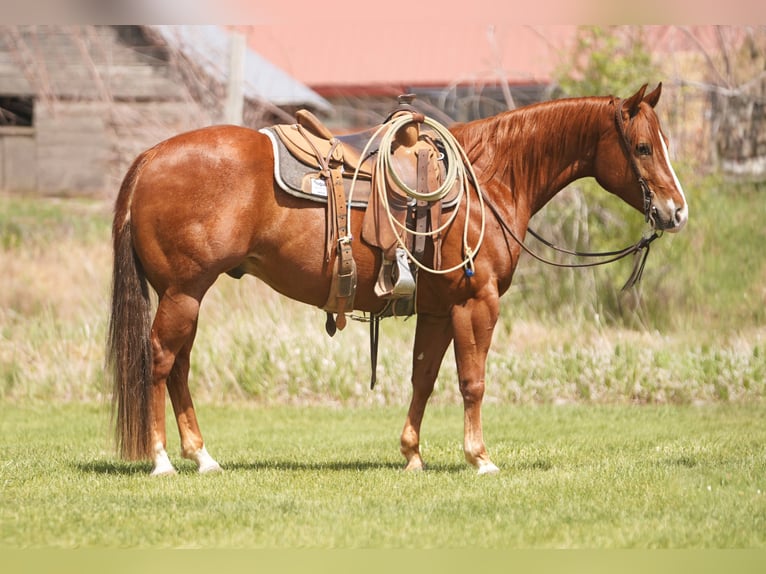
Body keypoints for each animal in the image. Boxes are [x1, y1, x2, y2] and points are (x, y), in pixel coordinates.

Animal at [107, 83, 687, 476]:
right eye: (643, 147)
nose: (677, 211)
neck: (488, 182)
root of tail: (151, 157)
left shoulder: (437, 309)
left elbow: (423, 378)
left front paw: (412, 455)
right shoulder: (476, 301)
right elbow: (472, 382)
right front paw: (480, 458)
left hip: (185, 294)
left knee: (180, 366)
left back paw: (202, 456)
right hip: (183, 291)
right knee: (161, 360)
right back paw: (162, 460)